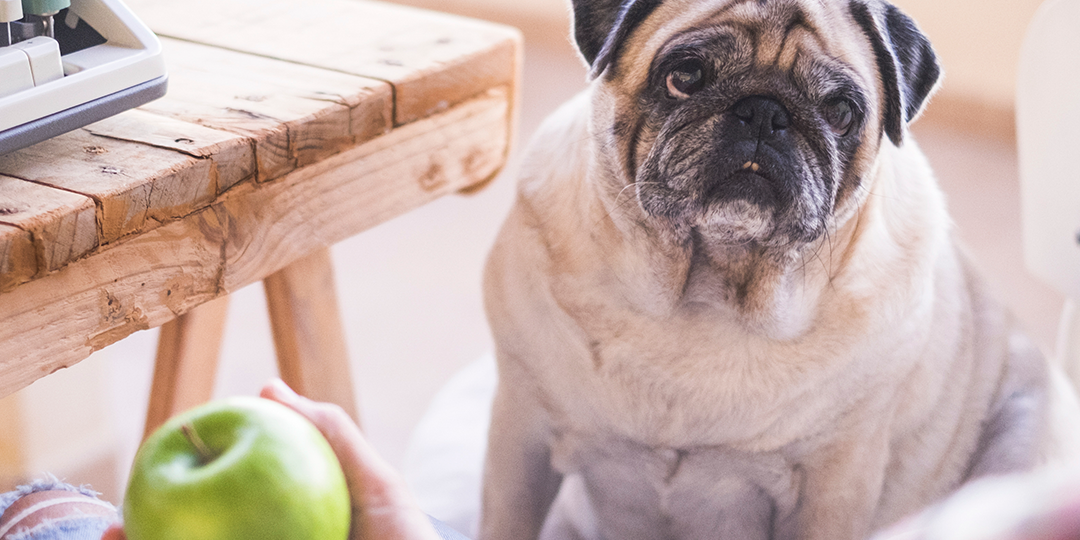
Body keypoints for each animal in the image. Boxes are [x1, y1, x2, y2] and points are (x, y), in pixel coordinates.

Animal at [483, 1, 1080, 540]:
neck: (705, 293)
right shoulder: (520, 437)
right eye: (684, 77)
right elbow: (504, 521)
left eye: (840, 110)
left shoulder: (834, 486)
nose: (764, 113)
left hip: (1026, 432)